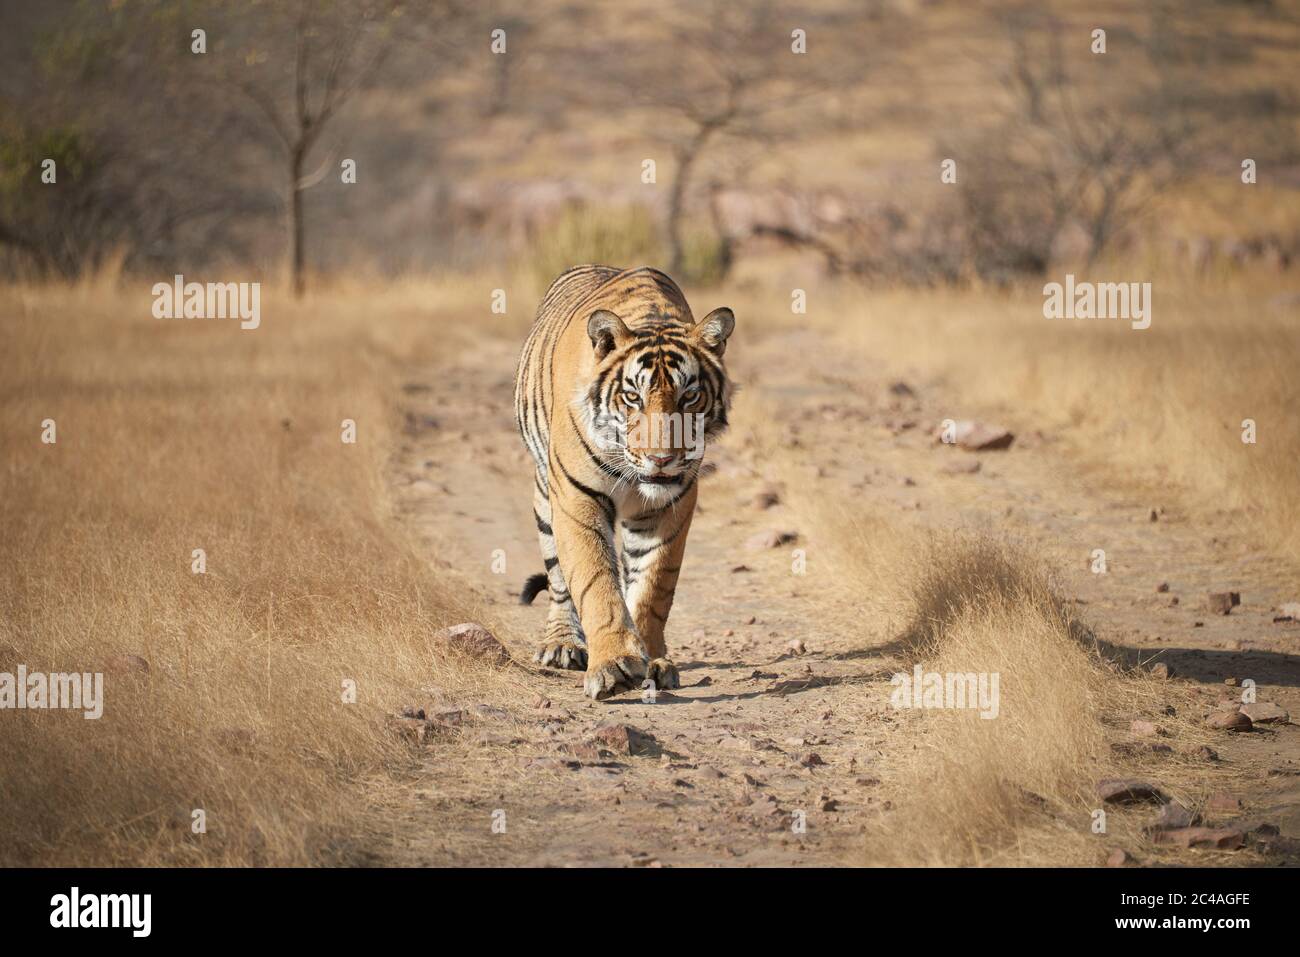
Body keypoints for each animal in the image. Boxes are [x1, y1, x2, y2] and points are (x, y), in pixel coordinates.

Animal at [509, 265, 733, 696]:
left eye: (689, 397)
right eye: (633, 398)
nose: (661, 459)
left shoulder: (670, 506)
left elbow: (652, 588)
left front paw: (652, 663)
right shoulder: (576, 498)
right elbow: (595, 581)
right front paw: (613, 665)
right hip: (545, 494)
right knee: (558, 578)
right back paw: (562, 645)